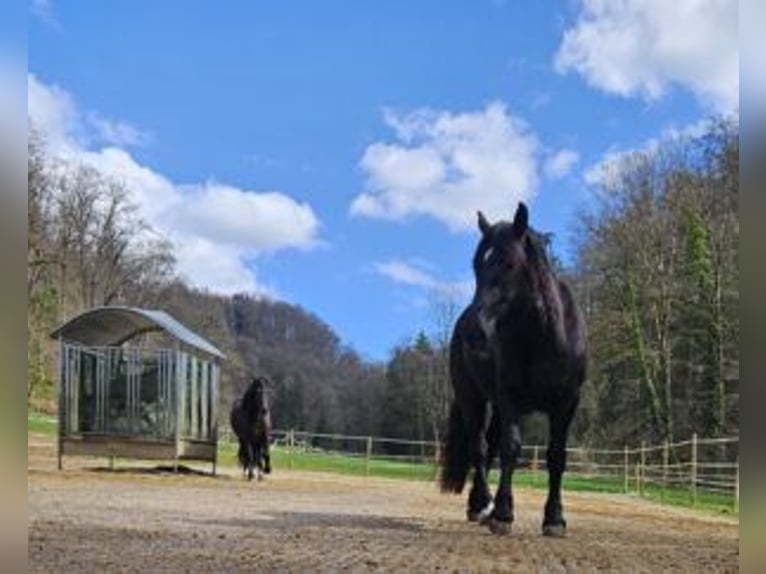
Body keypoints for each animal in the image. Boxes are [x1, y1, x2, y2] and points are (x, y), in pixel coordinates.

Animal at [440, 204, 592, 540]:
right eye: (476, 265)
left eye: (509, 263)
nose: (475, 334)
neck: (546, 338)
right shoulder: (510, 399)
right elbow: (511, 449)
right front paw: (503, 514)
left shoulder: (566, 405)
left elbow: (556, 456)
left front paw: (554, 519)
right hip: (472, 398)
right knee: (480, 448)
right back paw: (483, 505)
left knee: (490, 446)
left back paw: (480, 505)